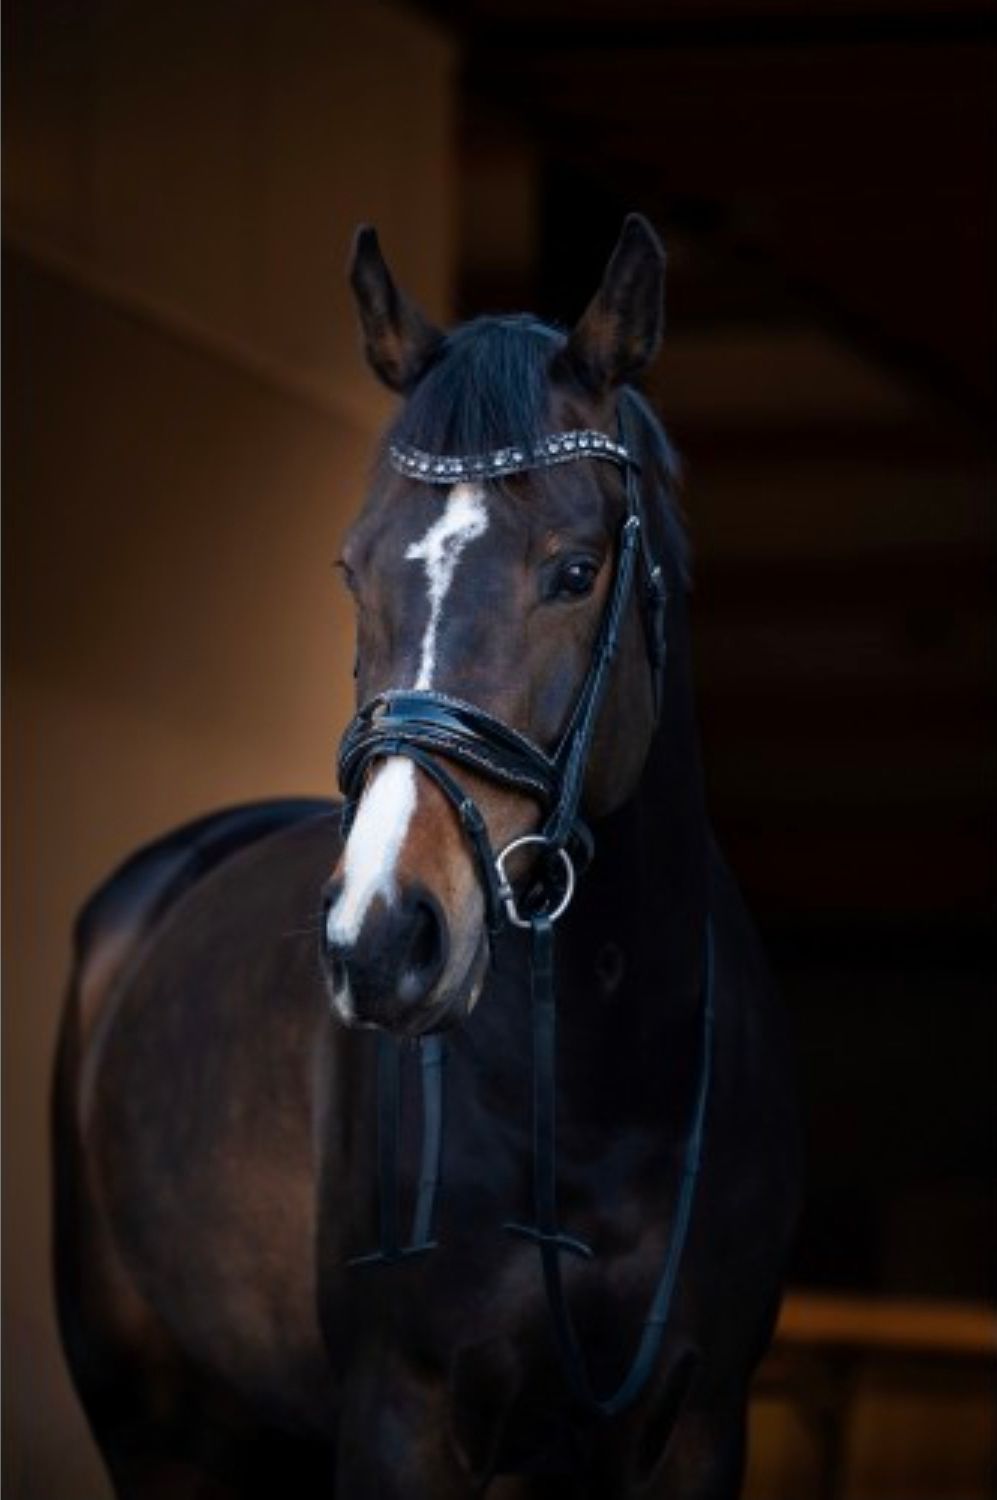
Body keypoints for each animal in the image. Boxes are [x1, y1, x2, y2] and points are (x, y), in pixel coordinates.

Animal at [53, 214, 801, 1498]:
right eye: (354, 569)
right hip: (154, 1422)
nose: (382, 937)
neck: (607, 1086)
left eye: (574, 571)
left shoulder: (701, 1425)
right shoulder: (399, 1416)